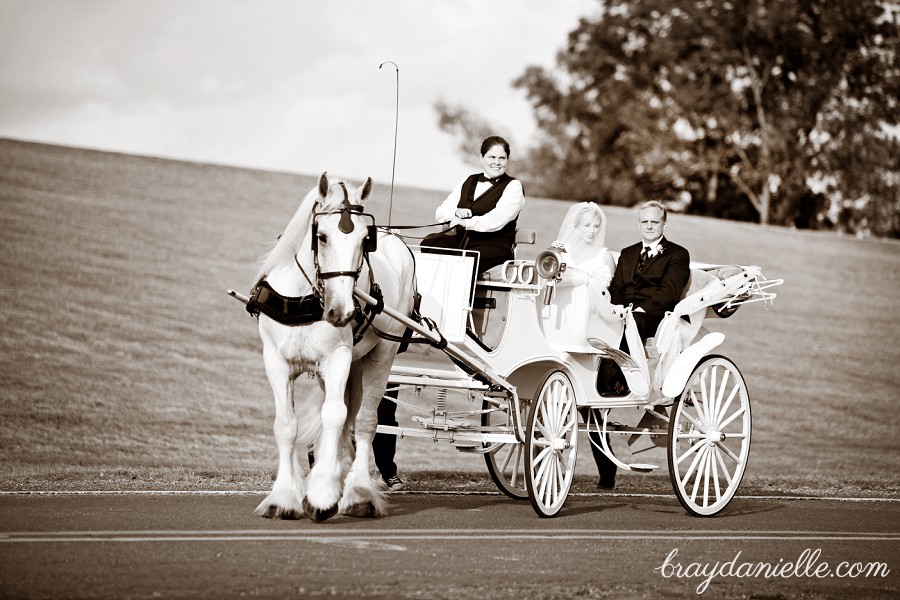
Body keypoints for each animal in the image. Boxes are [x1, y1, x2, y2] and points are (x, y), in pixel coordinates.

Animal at [253, 172, 414, 520]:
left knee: (365, 422)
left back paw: (359, 493)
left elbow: (334, 417)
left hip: (381, 356)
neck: (303, 300)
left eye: (365, 241)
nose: (342, 312)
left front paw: (323, 494)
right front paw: (283, 497)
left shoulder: (338, 359)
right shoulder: (275, 361)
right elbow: (286, 425)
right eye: (322, 236)